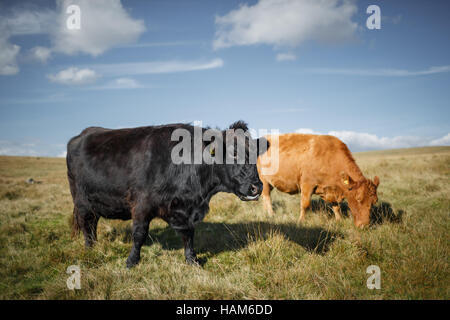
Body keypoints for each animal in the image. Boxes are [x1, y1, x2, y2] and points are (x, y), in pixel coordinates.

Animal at [67, 121, 264, 266]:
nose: (257, 187)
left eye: (255, 154)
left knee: (92, 223)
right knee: (86, 224)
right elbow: (139, 234)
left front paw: (192, 260)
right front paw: (132, 261)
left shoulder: (186, 211)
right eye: (233, 153)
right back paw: (90, 249)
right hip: (82, 201)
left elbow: (189, 235)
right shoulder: (141, 204)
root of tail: (83, 134)